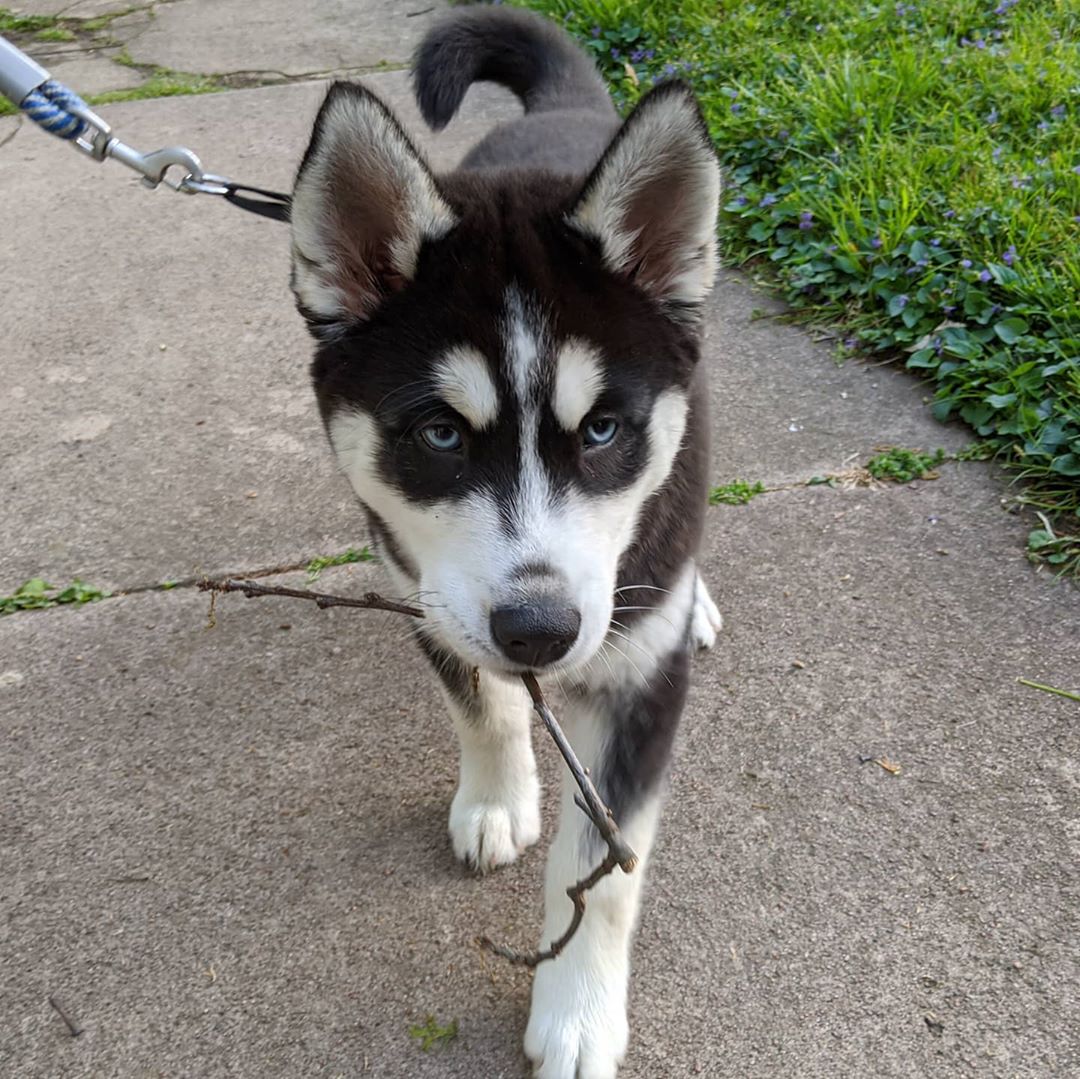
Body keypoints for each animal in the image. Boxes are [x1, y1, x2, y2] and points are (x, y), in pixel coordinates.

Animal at [291, 8, 721, 1079]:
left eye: (603, 430)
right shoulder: (422, 581)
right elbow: (480, 705)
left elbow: (606, 870)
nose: (540, 631)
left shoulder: (639, 676)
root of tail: (566, 109)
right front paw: (496, 797)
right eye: (441, 434)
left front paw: (579, 1014)